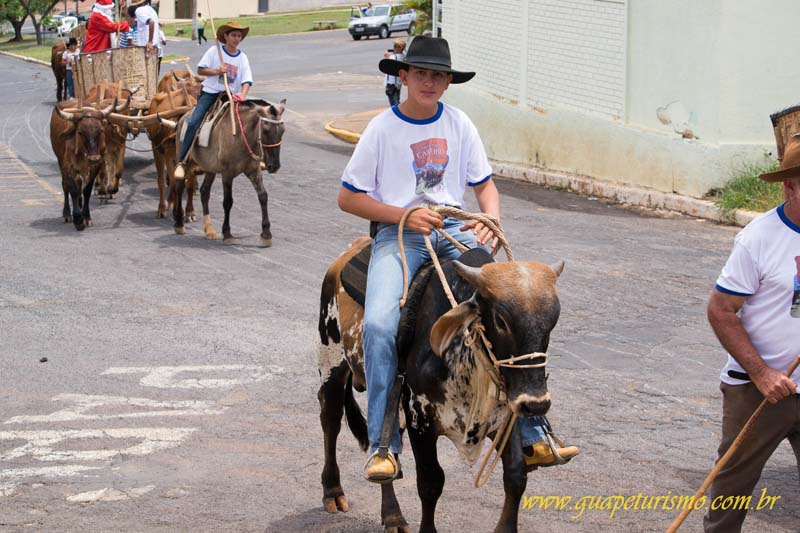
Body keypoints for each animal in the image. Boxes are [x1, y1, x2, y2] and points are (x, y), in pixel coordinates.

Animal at [316, 242, 564, 532]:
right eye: (501, 320)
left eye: (553, 320)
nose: (536, 404)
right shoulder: (420, 420)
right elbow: (430, 482)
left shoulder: (507, 414)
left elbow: (515, 473)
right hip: (331, 362)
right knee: (331, 421)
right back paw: (333, 491)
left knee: (389, 450)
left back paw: (392, 515)